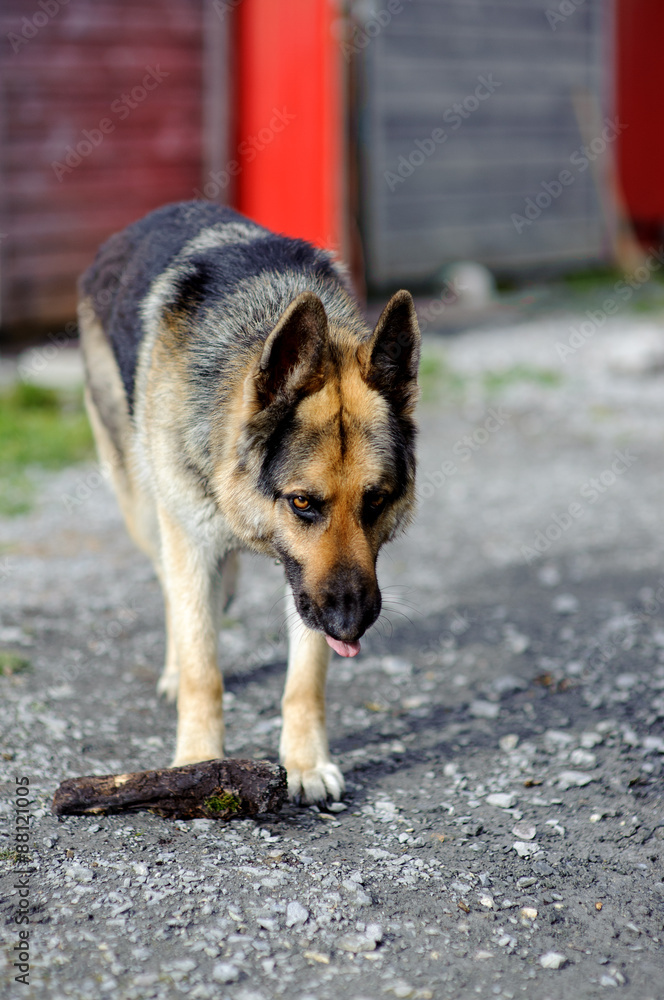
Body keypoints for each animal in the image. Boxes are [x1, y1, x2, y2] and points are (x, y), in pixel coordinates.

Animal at [78, 203, 420, 804]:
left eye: (376, 499)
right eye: (302, 501)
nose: (349, 626)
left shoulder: (307, 584)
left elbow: (305, 677)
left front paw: (305, 762)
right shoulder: (193, 541)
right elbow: (202, 665)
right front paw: (197, 761)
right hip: (144, 507)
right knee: (173, 590)